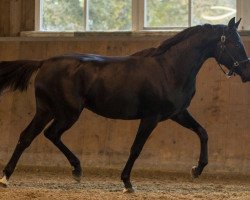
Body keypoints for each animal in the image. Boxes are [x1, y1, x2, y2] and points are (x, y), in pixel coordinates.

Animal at [0, 18, 250, 191]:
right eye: (235, 44)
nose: (247, 72)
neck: (169, 69)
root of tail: (44, 62)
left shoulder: (177, 113)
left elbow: (203, 132)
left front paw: (197, 170)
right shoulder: (151, 117)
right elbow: (136, 148)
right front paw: (127, 183)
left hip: (47, 110)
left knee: (27, 137)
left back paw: (7, 177)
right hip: (66, 113)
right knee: (50, 134)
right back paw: (75, 170)